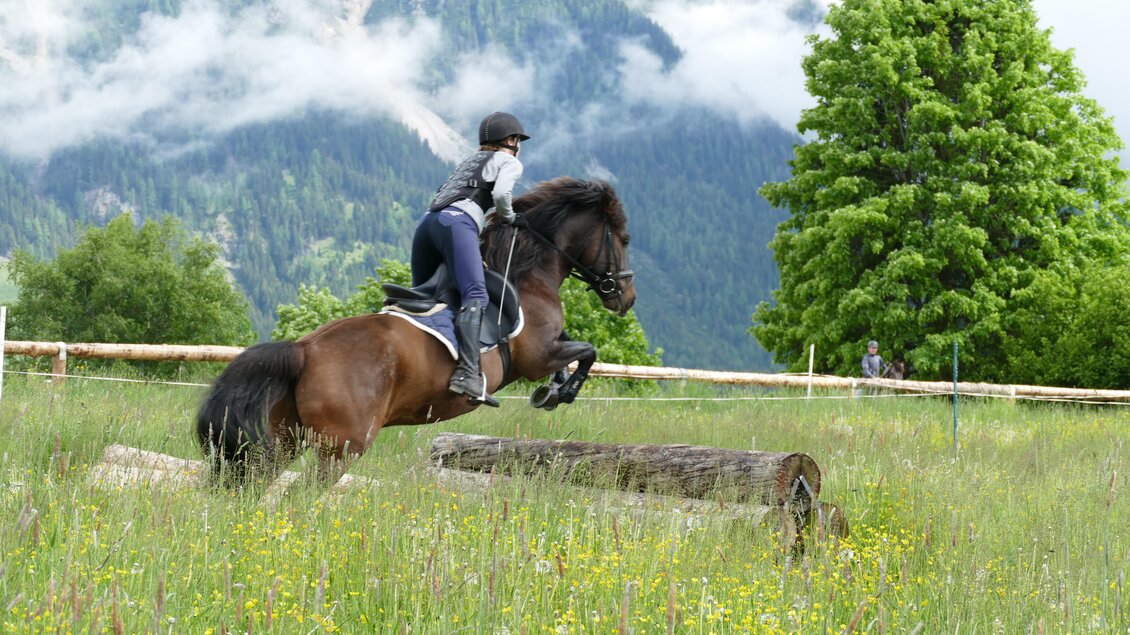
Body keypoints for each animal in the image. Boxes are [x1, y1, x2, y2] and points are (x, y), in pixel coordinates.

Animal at [196, 176, 636, 485]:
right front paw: (560, 393)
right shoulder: (537, 355)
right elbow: (588, 351)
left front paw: (555, 388)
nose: (626, 298)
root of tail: (304, 349)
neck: (529, 273)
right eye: (624, 238)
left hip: (288, 437)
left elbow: (578, 352)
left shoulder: (549, 350)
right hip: (343, 446)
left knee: (259, 483)